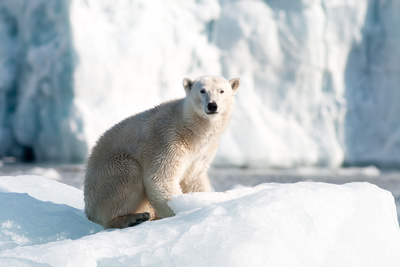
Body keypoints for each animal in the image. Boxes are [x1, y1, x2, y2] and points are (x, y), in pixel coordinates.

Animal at [84, 75, 239, 228]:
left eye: (221, 91)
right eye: (202, 90)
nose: (212, 105)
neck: (190, 130)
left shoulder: (202, 152)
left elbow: (194, 180)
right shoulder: (167, 140)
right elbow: (160, 178)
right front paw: (181, 213)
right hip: (107, 174)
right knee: (127, 175)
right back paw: (133, 218)